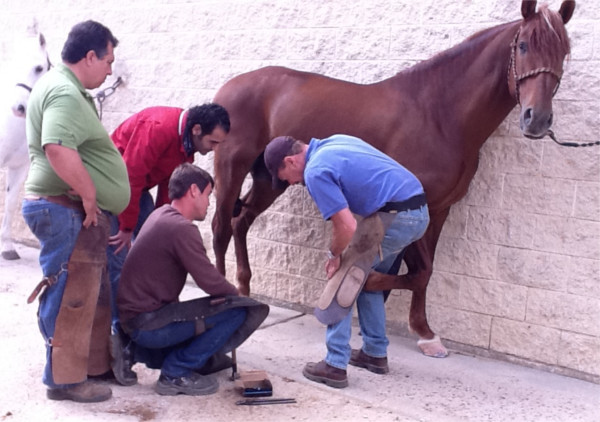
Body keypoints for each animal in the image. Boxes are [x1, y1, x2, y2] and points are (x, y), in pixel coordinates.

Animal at [212, 0, 576, 358]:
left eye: (564, 51)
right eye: (524, 45)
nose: (537, 119)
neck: (439, 114)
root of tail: (229, 87)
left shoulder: (438, 209)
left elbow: (423, 272)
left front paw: (423, 331)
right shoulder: (414, 204)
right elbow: (416, 271)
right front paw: (370, 294)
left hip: (270, 179)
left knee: (241, 221)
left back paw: (244, 287)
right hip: (231, 166)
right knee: (221, 228)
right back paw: (221, 296)